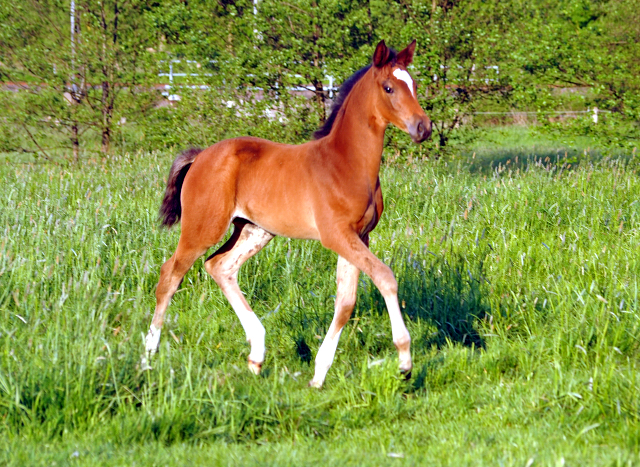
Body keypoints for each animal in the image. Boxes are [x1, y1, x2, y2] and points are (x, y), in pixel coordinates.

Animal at [144, 40, 432, 390]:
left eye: (414, 85)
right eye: (389, 87)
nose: (423, 127)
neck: (346, 163)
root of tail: (200, 156)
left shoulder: (359, 236)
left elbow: (345, 302)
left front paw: (319, 375)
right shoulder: (337, 235)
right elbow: (386, 277)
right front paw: (404, 360)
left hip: (254, 230)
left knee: (220, 266)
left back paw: (256, 354)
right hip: (203, 228)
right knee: (169, 275)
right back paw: (148, 356)